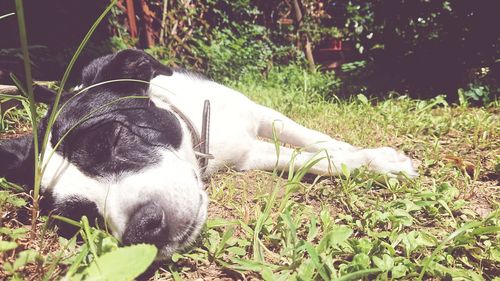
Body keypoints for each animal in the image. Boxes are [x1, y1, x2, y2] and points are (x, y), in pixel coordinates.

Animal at [0, 48, 416, 258]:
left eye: (112, 138)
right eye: (80, 219)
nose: (142, 229)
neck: (202, 134)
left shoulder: (260, 113)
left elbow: (310, 137)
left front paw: (368, 155)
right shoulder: (250, 155)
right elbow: (307, 158)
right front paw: (369, 161)